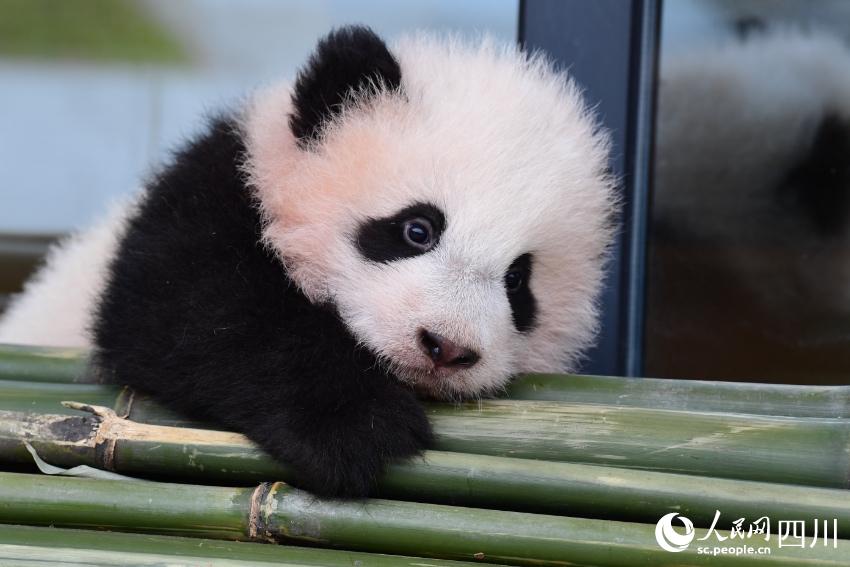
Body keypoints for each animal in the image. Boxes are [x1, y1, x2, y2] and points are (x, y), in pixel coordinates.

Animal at [0, 26, 617, 496]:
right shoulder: (203, 200)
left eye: (518, 281)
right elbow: (195, 314)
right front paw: (355, 429)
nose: (445, 347)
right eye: (416, 230)